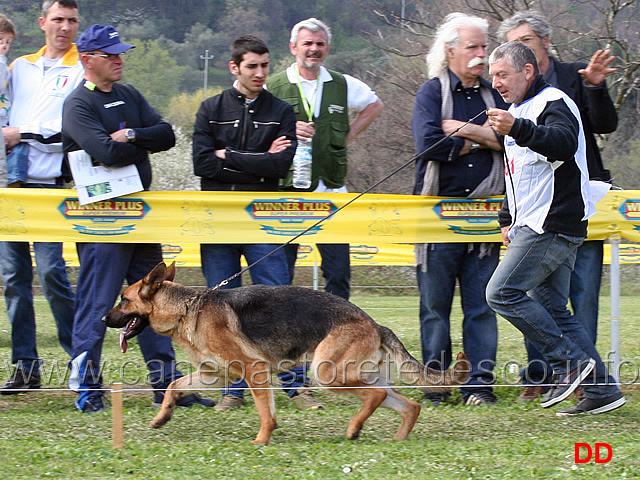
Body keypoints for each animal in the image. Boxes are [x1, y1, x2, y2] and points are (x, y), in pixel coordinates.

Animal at [102, 262, 468, 442]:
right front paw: (162, 416)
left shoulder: (254, 371)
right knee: (408, 404)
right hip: (353, 374)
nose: (103, 319)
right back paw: (397, 438)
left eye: (123, 299)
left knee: (376, 396)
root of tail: (374, 323)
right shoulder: (212, 376)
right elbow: (173, 386)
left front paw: (261, 440)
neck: (188, 309)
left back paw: (354, 429)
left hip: (326, 372)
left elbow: (267, 414)